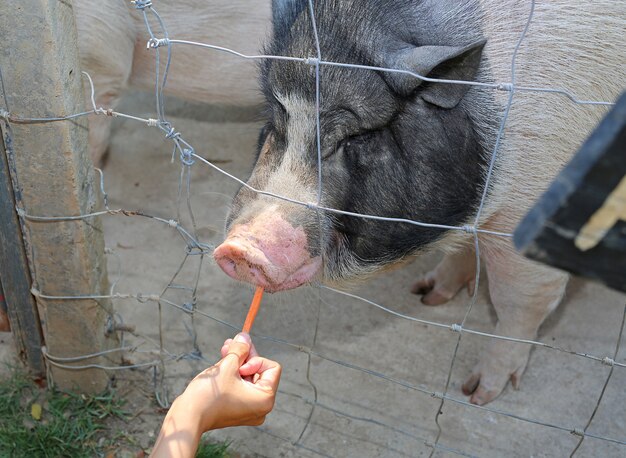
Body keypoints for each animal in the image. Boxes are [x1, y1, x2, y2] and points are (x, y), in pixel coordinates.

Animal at [212, 0, 620, 404]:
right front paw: (427, 296)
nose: (240, 248)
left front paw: (477, 394)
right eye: (277, 118)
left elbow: (519, 302)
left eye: (358, 135)